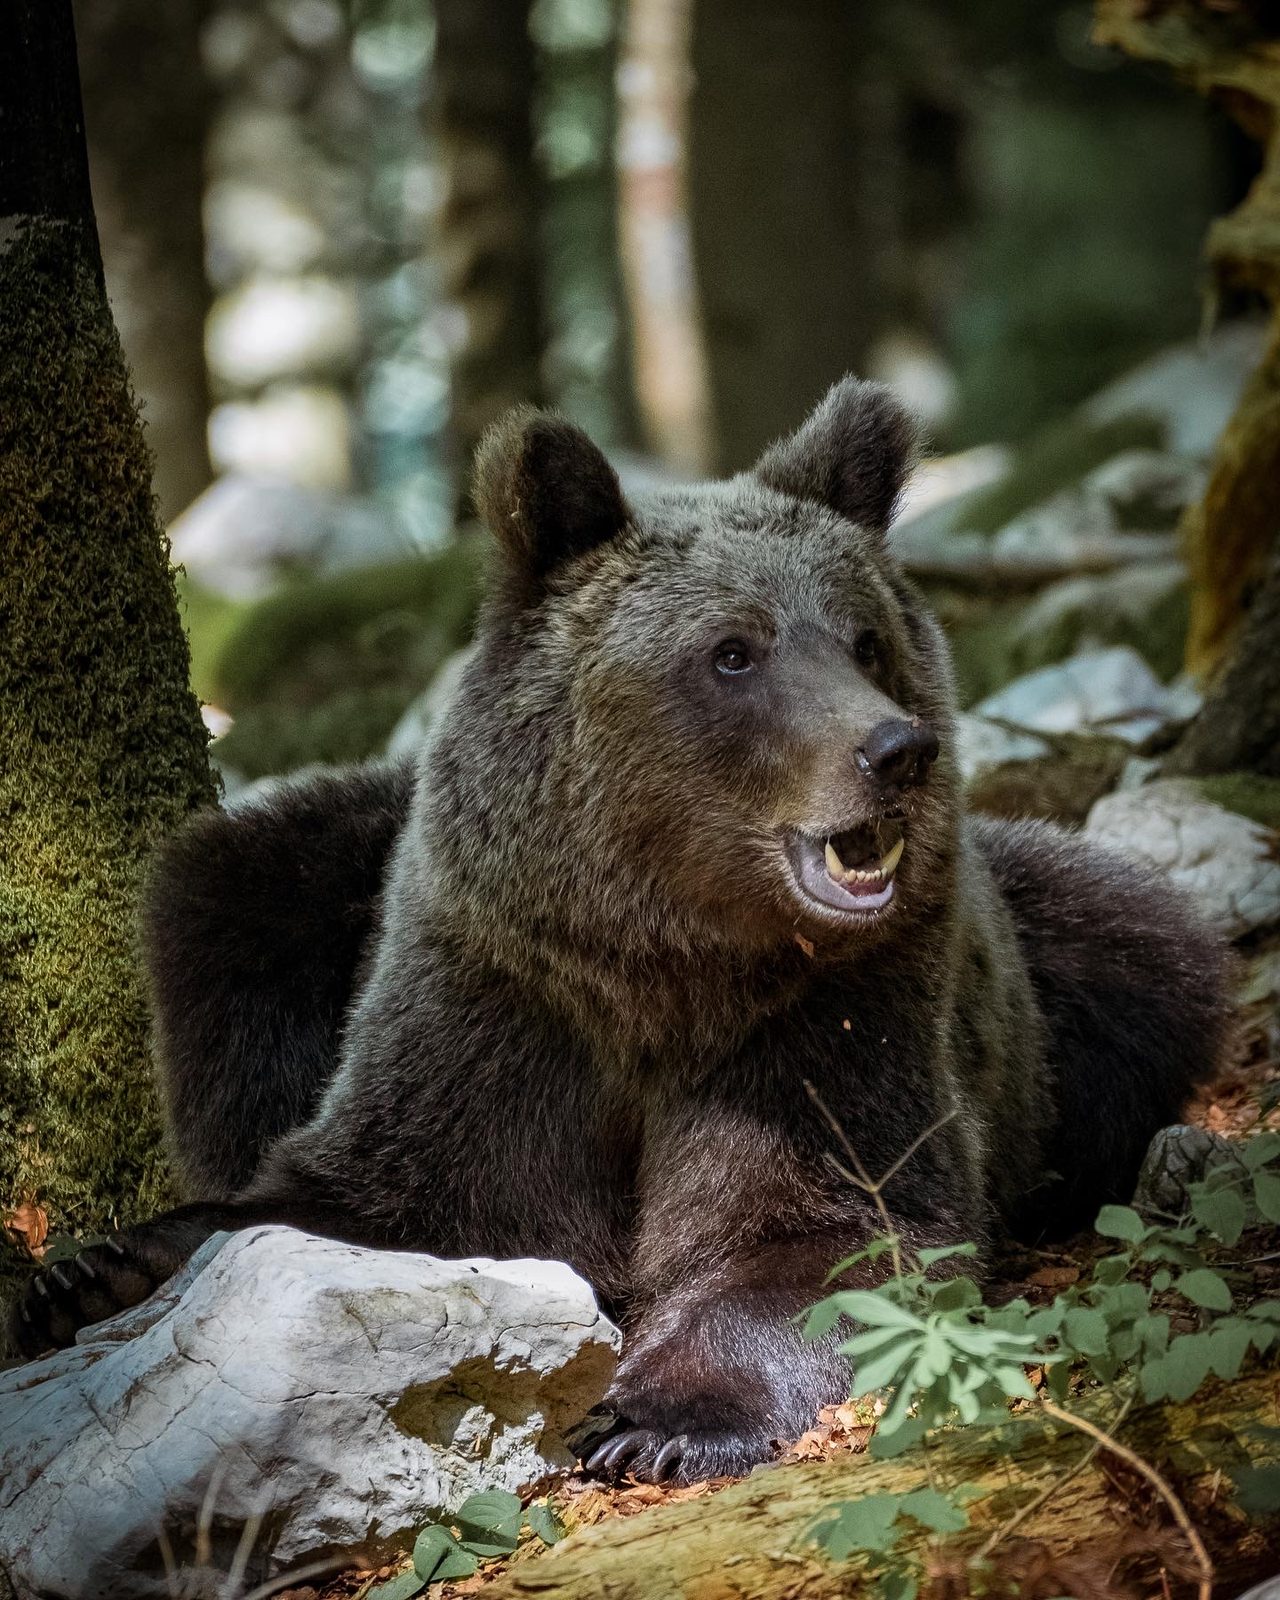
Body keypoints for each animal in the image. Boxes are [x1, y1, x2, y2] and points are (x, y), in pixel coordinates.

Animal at [8, 378, 1230, 1484]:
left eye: (864, 638)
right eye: (734, 651)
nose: (895, 749)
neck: (661, 963)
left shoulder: (830, 1017)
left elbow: (825, 1228)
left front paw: (658, 1419)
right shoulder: (497, 1001)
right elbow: (363, 1195)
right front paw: (93, 1272)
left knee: (1142, 945)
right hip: (312, 870)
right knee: (225, 897)